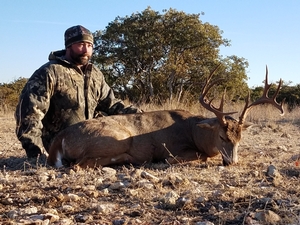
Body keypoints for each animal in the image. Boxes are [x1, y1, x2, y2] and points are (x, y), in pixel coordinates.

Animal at [46, 66, 284, 168]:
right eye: (222, 137)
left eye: (240, 139)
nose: (232, 162)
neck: (195, 132)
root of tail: (60, 139)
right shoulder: (177, 148)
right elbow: (196, 157)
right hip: (118, 138)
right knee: (79, 164)